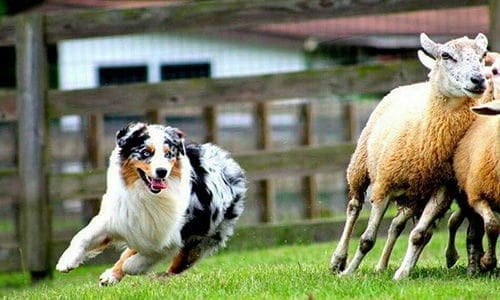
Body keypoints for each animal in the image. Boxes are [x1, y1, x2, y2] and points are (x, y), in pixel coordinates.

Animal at [55, 122, 247, 286]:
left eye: (169, 154)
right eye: (146, 153)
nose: (162, 171)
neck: (145, 194)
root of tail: (229, 164)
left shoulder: (169, 237)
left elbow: (140, 259)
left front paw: (133, 267)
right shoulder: (119, 218)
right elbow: (82, 237)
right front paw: (66, 261)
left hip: (200, 239)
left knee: (176, 265)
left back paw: (161, 277)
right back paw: (111, 276)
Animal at [330, 33, 486, 282]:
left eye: (482, 56)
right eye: (446, 55)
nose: (478, 80)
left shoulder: (441, 190)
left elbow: (418, 235)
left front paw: (402, 273)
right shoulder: (383, 185)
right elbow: (366, 240)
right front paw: (349, 272)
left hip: (414, 196)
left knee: (399, 225)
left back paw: (383, 266)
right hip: (360, 166)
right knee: (353, 207)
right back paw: (338, 260)